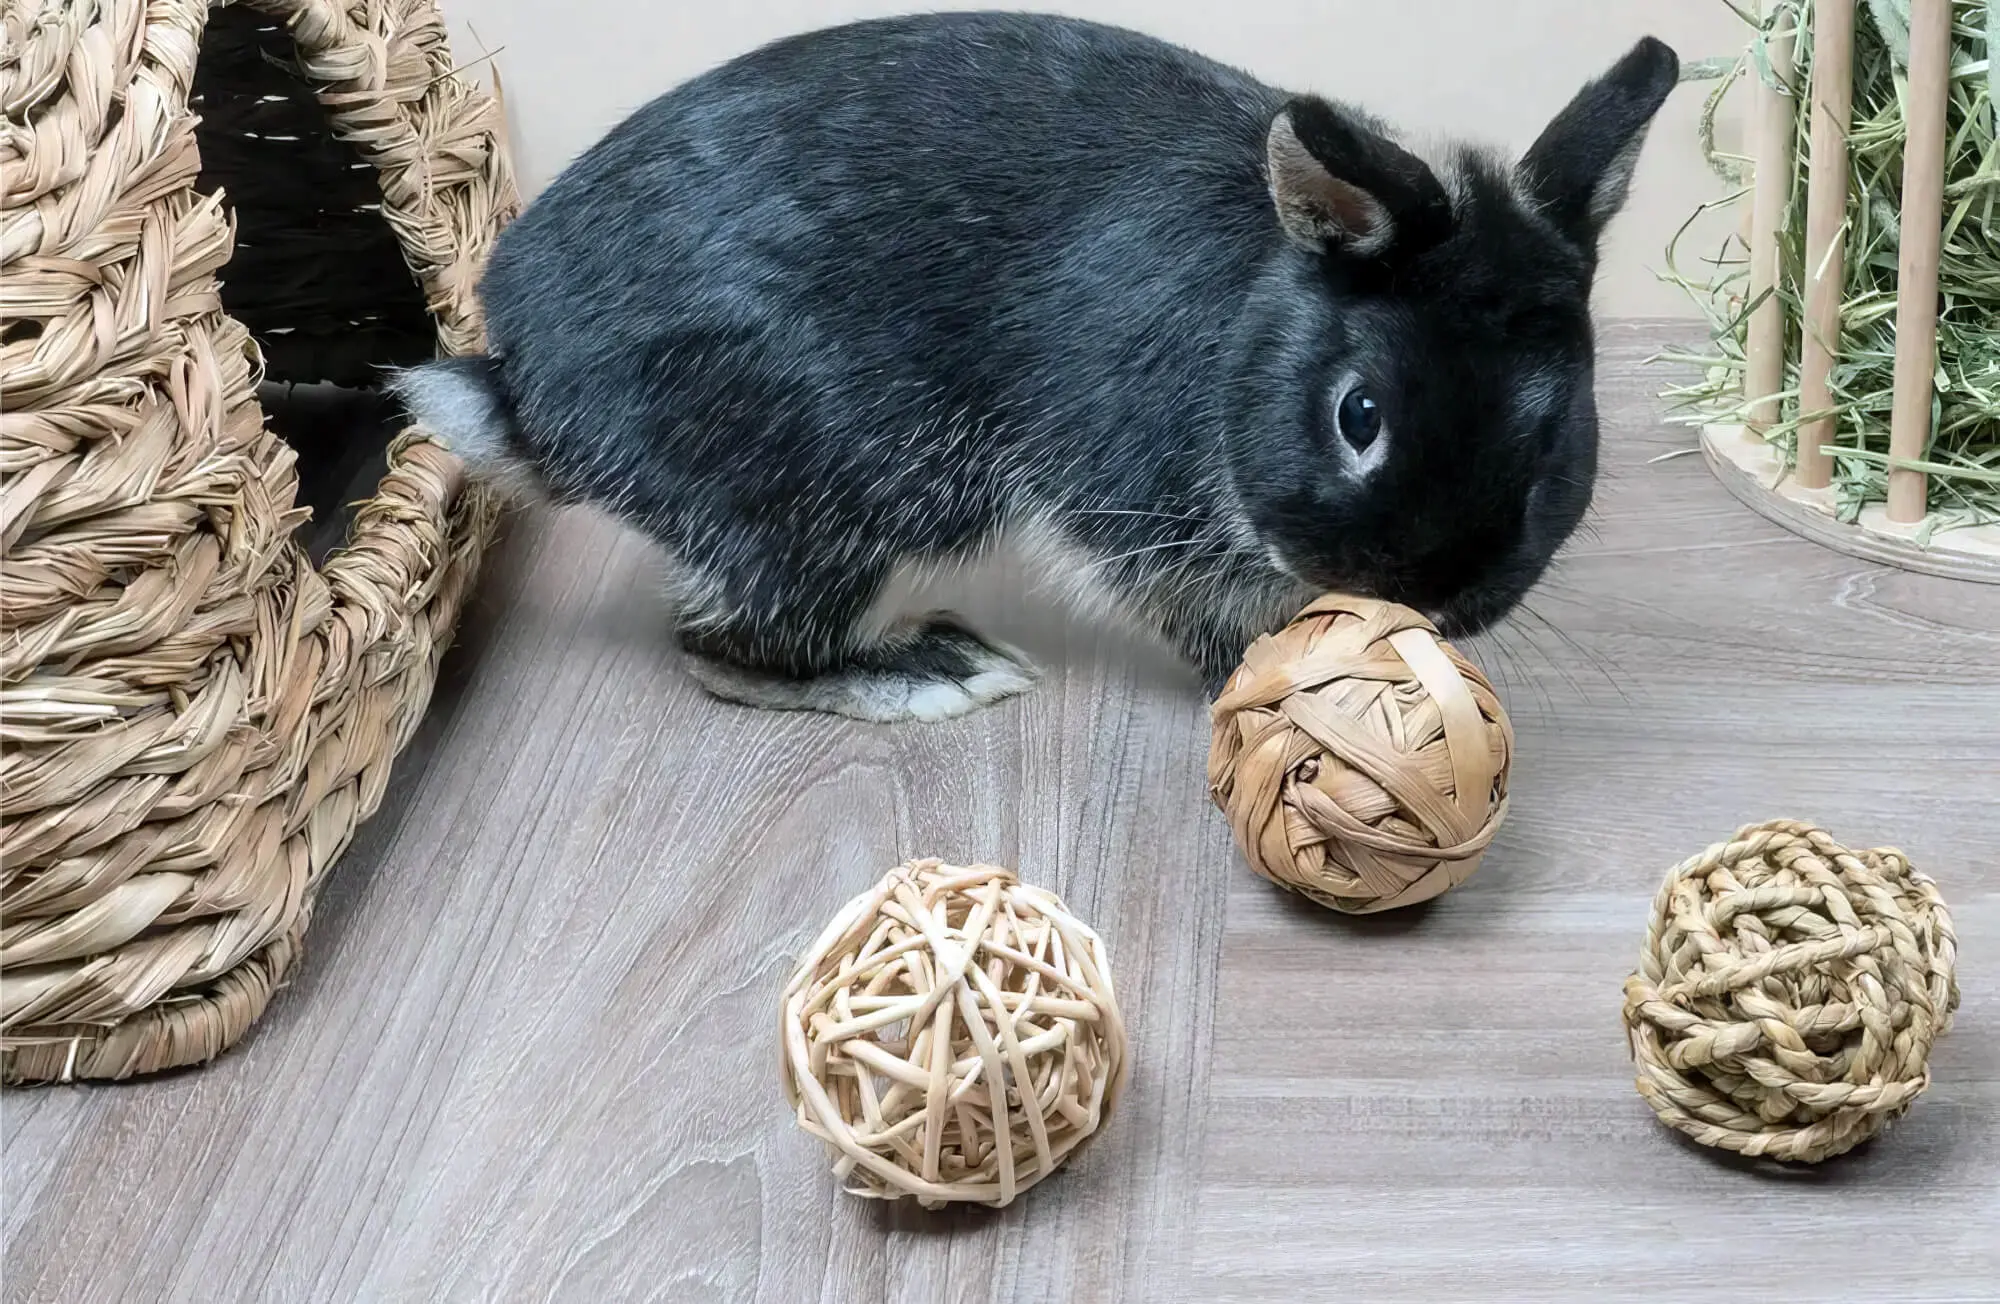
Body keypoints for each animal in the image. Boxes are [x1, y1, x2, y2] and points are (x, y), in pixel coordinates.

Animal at [394, 12, 1679, 722]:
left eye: (1555, 440)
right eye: (1355, 413)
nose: (1429, 597)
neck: (1253, 311)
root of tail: (530, 394)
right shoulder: (1134, 496)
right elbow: (1196, 609)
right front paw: (1273, 676)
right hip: (837, 492)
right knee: (722, 649)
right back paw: (929, 670)